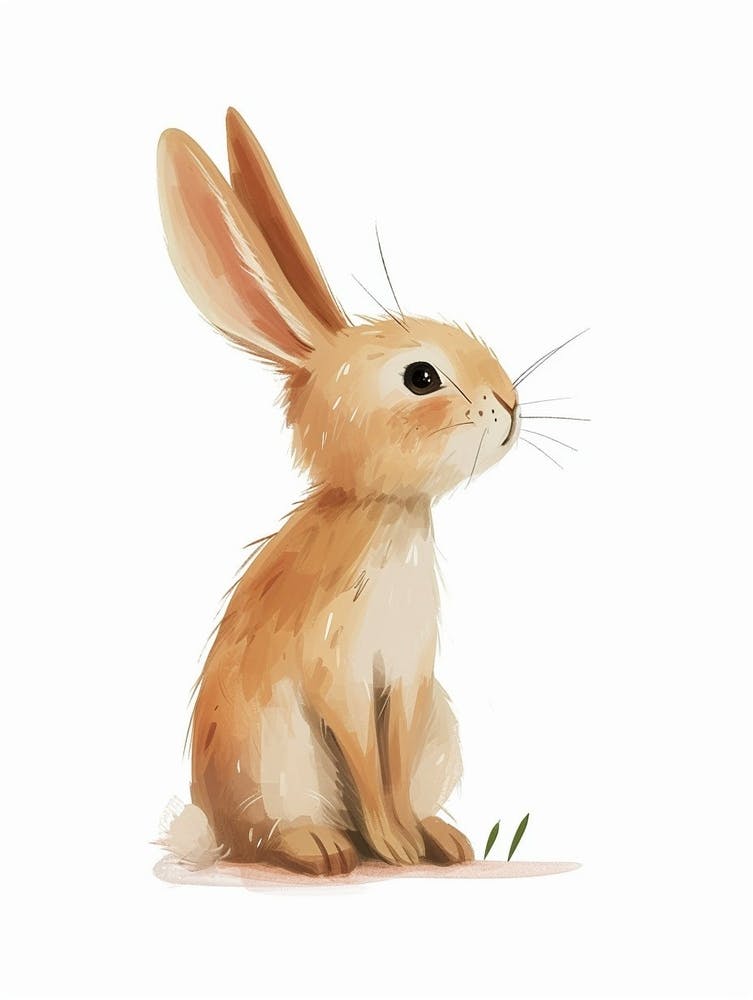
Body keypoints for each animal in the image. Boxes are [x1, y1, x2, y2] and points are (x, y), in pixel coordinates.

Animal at [156, 108, 520, 876]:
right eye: (421, 378)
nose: (510, 404)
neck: (386, 515)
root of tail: (211, 828)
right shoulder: (342, 676)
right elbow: (364, 762)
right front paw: (393, 847)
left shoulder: (409, 681)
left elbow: (393, 763)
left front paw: (413, 841)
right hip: (272, 762)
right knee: (266, 835)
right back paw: (323, 848)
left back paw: (442, 837)